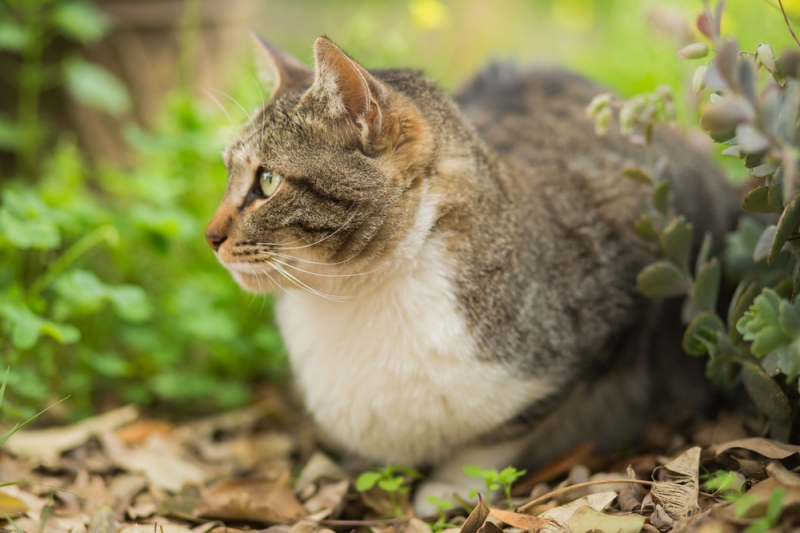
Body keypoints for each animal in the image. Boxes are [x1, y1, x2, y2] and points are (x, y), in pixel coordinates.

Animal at [206, 34, 736, 512]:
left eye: (267, 181)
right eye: (228, 172)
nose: (210, 237)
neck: (358, 292)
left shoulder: (605, 330)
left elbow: (501, 435)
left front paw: (451, 486)